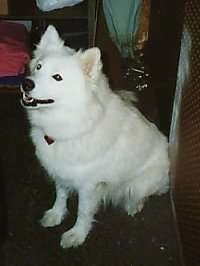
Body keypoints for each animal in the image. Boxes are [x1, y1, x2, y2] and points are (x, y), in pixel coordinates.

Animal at [21, 26, 169, 248]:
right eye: (38, 67)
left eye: (57, 77)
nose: (26, 83)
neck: (74, 125)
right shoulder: (61, 172)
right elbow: (61, 196)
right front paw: (56, 215)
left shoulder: (88, 185)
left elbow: (83, 212)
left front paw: (77, 235)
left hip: (142, 182)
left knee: (140, 194)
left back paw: (134, 205)